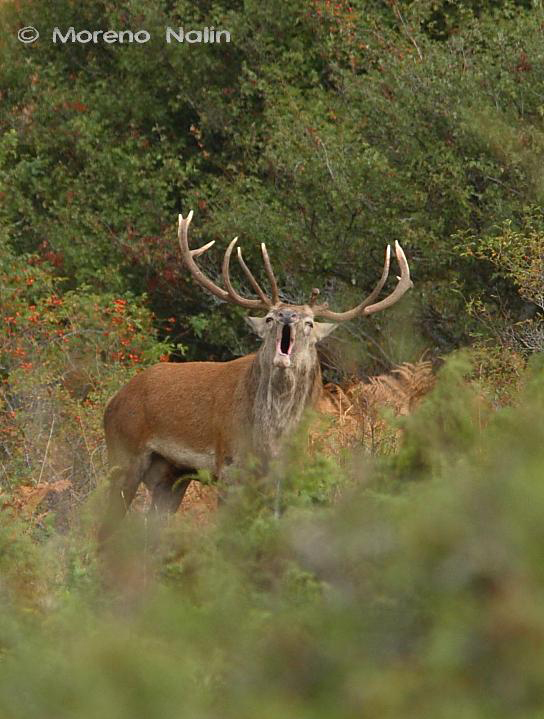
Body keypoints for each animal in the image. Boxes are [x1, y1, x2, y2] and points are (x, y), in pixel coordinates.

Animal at [98, 211, 412, 542]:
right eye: (270, 318)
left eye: (310, 323)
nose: (288, 315)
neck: (272, 440)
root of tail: (114, 400)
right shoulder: (230, 467)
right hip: (123, 454)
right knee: (104, 530)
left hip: (170, 475)